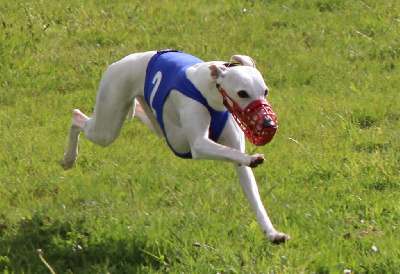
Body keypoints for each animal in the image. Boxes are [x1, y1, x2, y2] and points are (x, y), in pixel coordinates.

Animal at [61, 49, 288, 244]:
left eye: (265, 91)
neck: (210, 91)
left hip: (151, 120)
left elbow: (252, 191)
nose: (268, 124)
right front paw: (253, 158)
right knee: (77, 118)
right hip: (106, 126)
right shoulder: (199, 144)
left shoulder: (235, 152)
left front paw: (272, 233)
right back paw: (69, 158)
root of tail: (123, 60)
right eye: (242, 93)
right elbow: (219, 150)